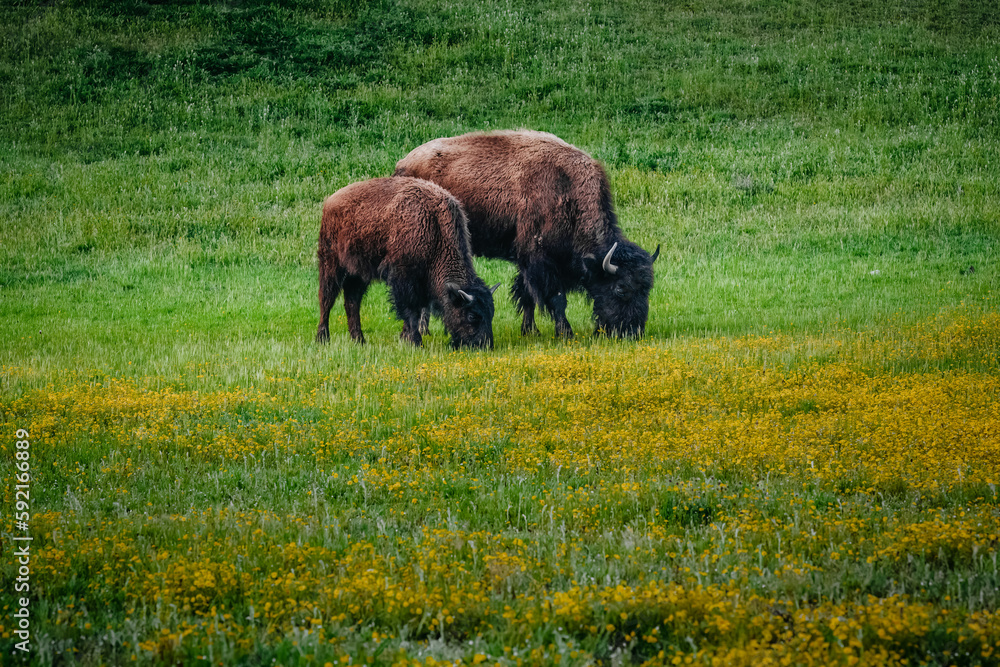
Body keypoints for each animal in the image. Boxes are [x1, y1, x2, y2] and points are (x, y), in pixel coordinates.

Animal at [314, 177, 498, 350]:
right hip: (330, 263)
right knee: (326, 298)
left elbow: (418, 309)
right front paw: (416, 342)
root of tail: (330, 201)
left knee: (352, 301)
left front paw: (405, 338)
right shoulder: (404, 278)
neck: (435, 228)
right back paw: (322, 338)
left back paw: (359, 340)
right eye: (472, 315)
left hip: (358, 273)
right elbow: (410, 310)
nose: (485, 345)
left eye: (491, 313)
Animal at [394, 129, 660, 340]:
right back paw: (424, 329)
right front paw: (565, 332)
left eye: (648, 288)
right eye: (621, 289)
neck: (566, 190)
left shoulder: (527, 262)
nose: (633, 332)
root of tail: (402, 164)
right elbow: (555, 298)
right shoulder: (539, 260)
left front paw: (530, 330)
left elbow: (527, 296)